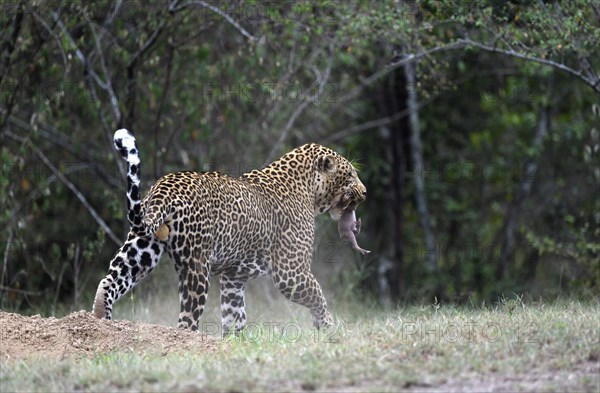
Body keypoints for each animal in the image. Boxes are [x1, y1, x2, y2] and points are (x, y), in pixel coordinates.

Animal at [92, 128, 368, 334]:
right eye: (351, 175)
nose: (365, 192)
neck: (309, 190)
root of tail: (165, 185)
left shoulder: (233, 277)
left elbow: (234, 315)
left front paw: (236, 343)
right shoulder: (291, 271)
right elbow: (318, 296)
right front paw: (329, 328)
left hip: (142, 247)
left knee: (109, 280)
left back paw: (99, 322)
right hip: (196, 265)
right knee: (186, 320)